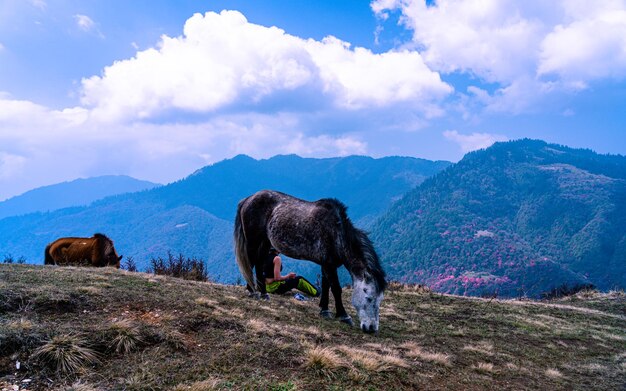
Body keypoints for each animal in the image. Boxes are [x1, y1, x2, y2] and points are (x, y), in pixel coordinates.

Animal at [233, 190, 382, 334]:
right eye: (369, 298)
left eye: (380, 300)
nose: (371, 328)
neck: (336, 233)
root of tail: (247, 199)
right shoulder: (329, 265)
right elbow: (336, 288)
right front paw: (343, 315)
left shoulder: (326, 264)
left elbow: (326, 286)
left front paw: (324, 310)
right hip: (253, 241)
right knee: (250, 263)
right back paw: (253, 291)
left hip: (264, 241)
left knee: (258, 263)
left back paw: (263, 294)